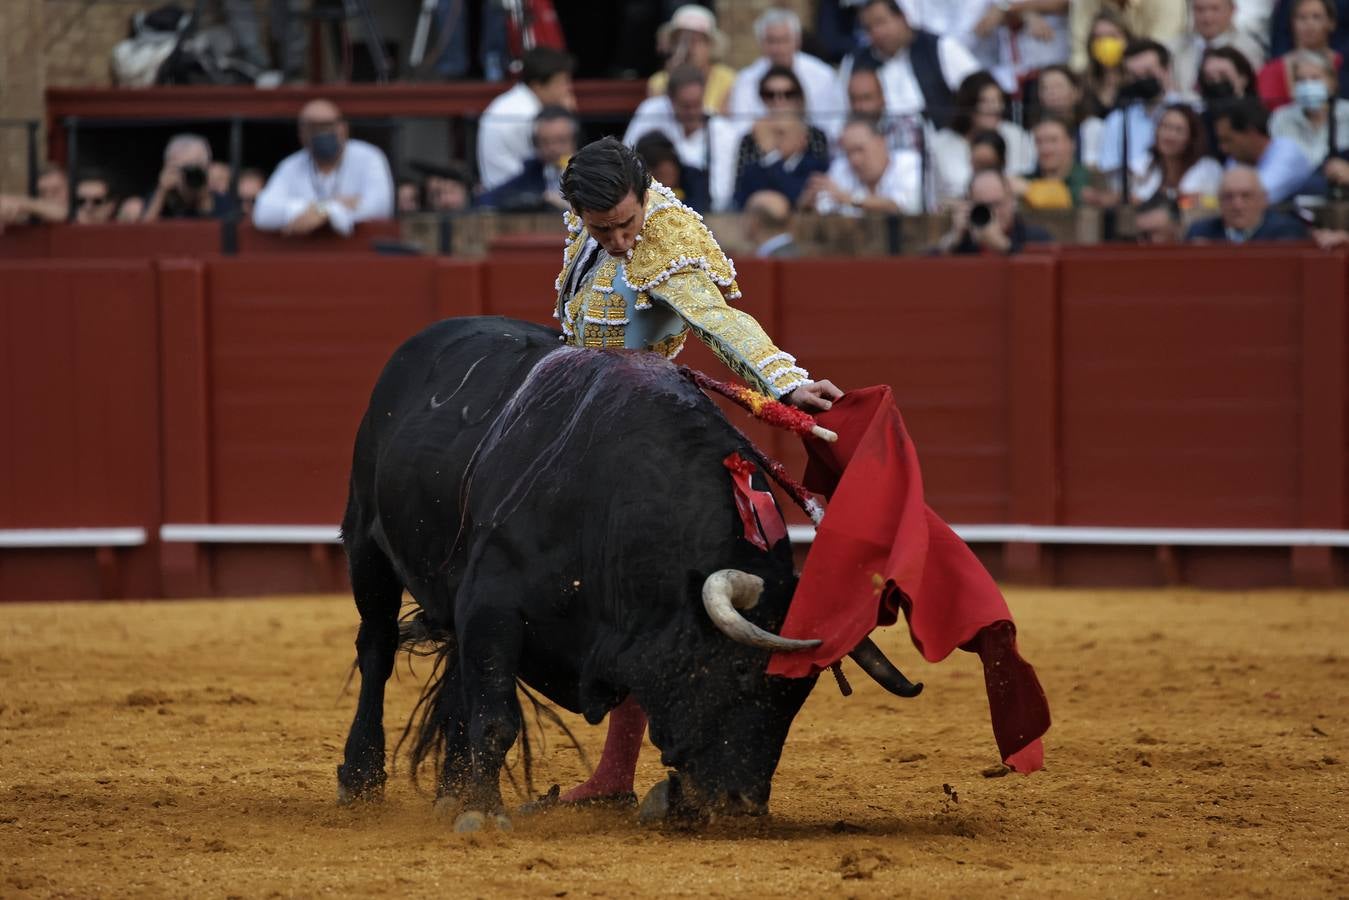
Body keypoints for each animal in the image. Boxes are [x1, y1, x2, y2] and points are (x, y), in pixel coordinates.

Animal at [335, 318, 917, 831]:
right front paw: (483, 812)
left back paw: (449, 791)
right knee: (378, 647)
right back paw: (361, 780)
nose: (741, 804)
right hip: (366, 542)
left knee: (456, 674)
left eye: (800, 694)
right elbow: (497, 717)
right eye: (741, 670)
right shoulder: (492, 605)